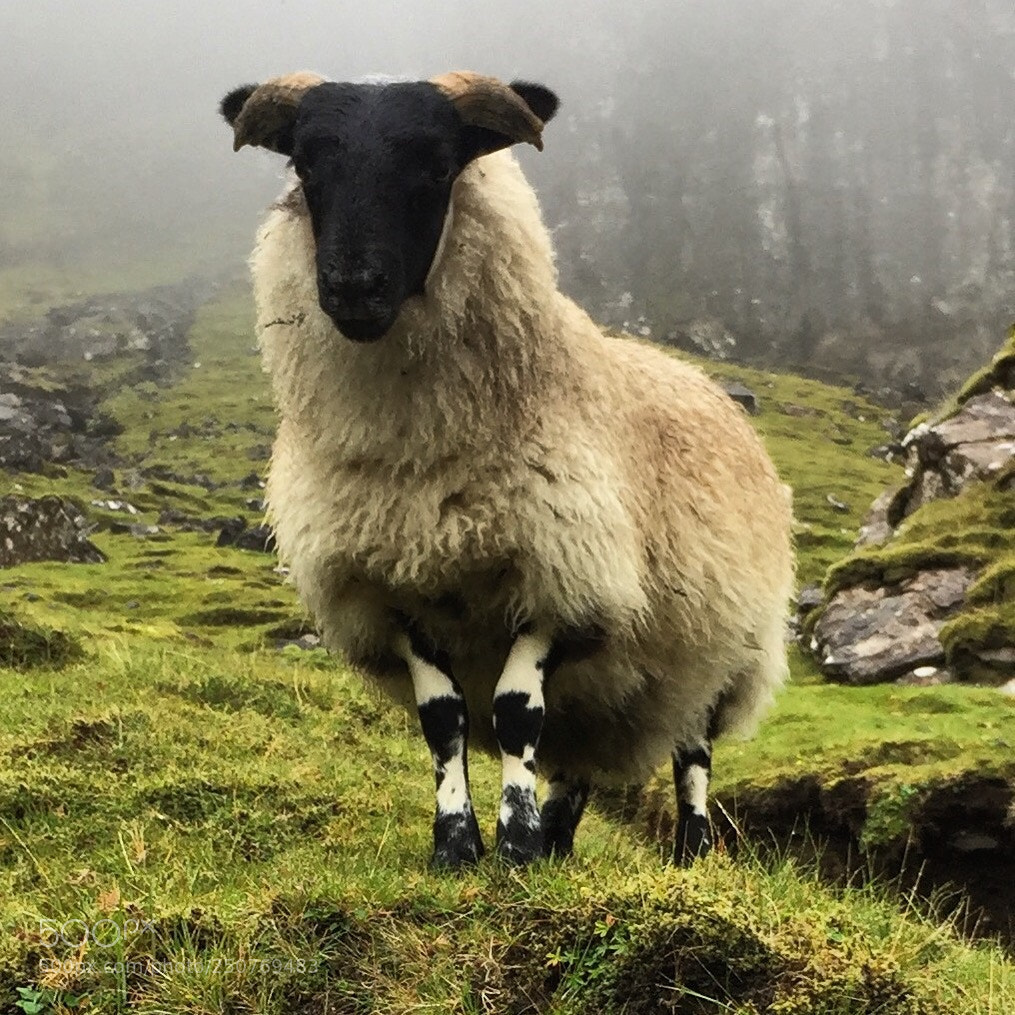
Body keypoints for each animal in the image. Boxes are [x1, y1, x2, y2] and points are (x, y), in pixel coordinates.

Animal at [220, 70, 794, 868]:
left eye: (436, 166)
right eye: (305, 166)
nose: (353, 287)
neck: (420, 455)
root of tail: (713, 390)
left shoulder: (563, 578)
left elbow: (516, 712)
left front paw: (514, 844)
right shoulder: (395, 591)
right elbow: (445, 719)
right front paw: (457, 845)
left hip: (721, 649)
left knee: (692, 751)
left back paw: (688, 849)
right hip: (612, 685)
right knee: (581, 756)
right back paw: (560, 841)